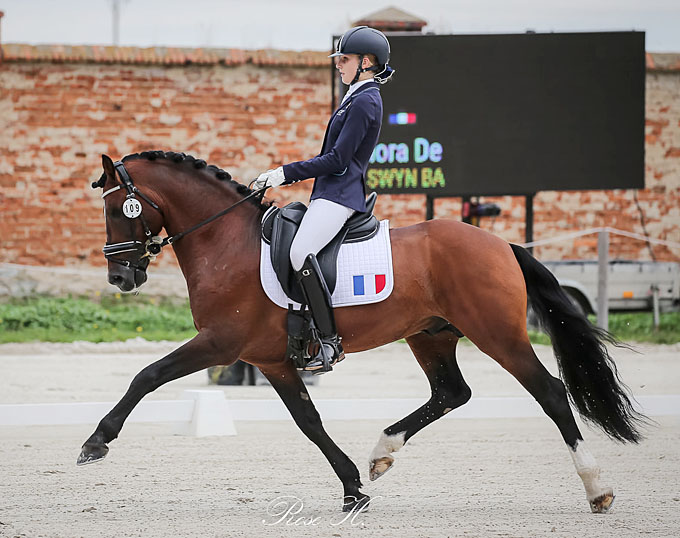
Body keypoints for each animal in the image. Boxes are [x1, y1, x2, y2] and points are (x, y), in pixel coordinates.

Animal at [81, 150, 646, 514]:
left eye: (115, 209)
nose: (120, 278)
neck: (226, 241)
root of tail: (502, 243)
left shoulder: (220, 343)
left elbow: (147, 375)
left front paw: (96, 442)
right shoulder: (272, 360)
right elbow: (309, 422)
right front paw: (353, 488)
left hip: (496, 334)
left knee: (550, 392)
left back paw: (596, 489)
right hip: (432, 334)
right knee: (451, 392)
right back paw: (381, 453)